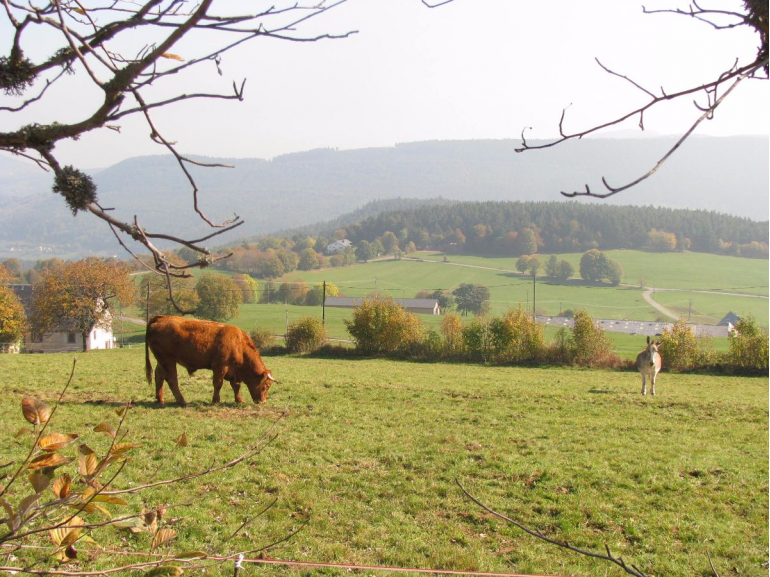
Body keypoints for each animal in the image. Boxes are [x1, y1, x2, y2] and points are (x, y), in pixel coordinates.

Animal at [144, 316, 276, 404]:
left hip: (162, 361)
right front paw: (216, 400)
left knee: (159, 376)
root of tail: (160, 318)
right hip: (168, 361)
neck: (239, 344)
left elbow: (235, 386)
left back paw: (160, 399)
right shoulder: (220, 367)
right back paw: (182, 401)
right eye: (266, 385)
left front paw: (239, 400)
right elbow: (218, 384)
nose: (262, 401)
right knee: (171, 379)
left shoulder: (234, 372)